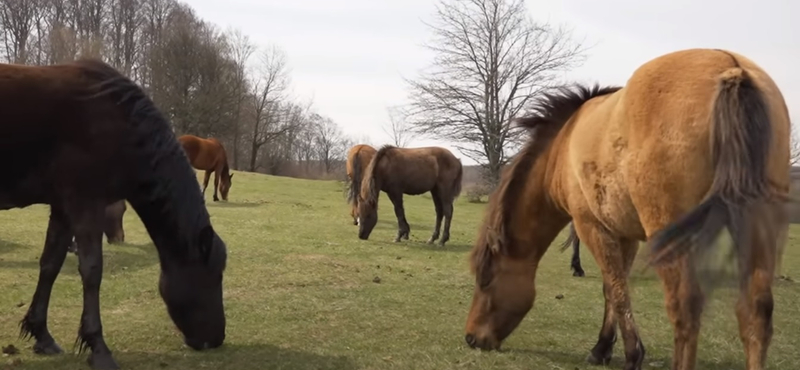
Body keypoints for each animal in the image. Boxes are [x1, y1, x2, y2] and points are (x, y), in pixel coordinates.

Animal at [2, 58, 228, 370]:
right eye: (215, 275)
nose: (217, 338)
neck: (121, 123)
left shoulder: (62, 208)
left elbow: (50, 265)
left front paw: (42, 334)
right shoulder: (86, 204)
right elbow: (92, 271)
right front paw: (98, 347)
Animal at [466, 47, 792, 370]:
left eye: (485, 279)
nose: (471, 338)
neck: (563, 146)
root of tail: (731, 68)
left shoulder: (592, 227)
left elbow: (615, 289)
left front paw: (630, 353)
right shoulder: (625, 235)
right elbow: (614, 288)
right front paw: (603, 348)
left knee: (685, 309)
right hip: (754, 229)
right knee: (756, 312)